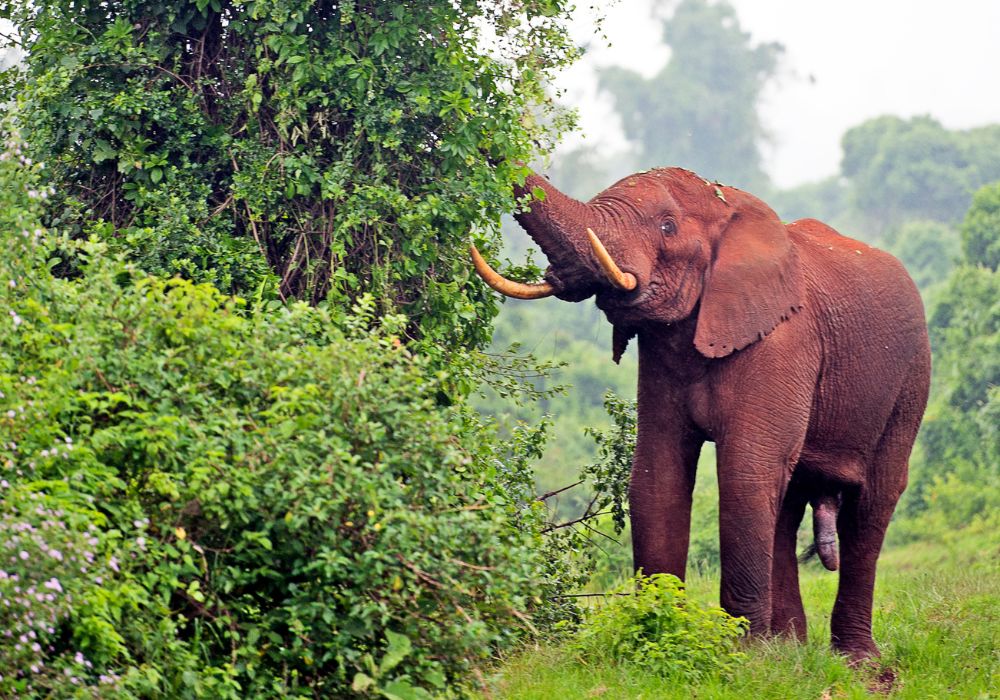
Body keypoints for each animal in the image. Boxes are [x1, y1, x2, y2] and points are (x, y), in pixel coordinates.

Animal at [472, 167, 932, 660]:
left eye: (667, 226)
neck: (729, 204)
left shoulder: (784, 340)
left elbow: (746, 472)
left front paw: (742, 654)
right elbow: (657, 475)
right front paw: (663, 629)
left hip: (911, 379)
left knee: (870, 506)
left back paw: (857, 661)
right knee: (788, 505)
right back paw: (789, 650)